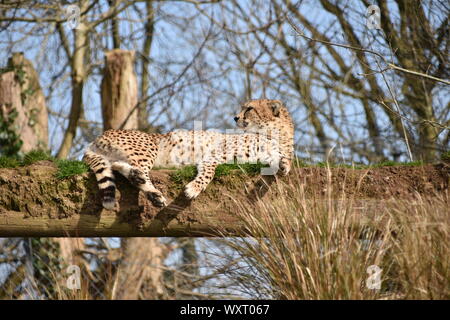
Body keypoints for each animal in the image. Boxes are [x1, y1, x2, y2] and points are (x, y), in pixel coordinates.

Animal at [83, 99, 296, 210]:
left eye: (249, 108)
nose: (236, 117)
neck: (275, 134)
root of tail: (99, 136)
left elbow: (280, 160)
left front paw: (284, 165)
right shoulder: (213, 156)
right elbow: (209, 173)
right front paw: (193, 188)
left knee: (117, 166)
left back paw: (149, 191)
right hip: (148, 148)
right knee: (137, 170)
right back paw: (153, 193)